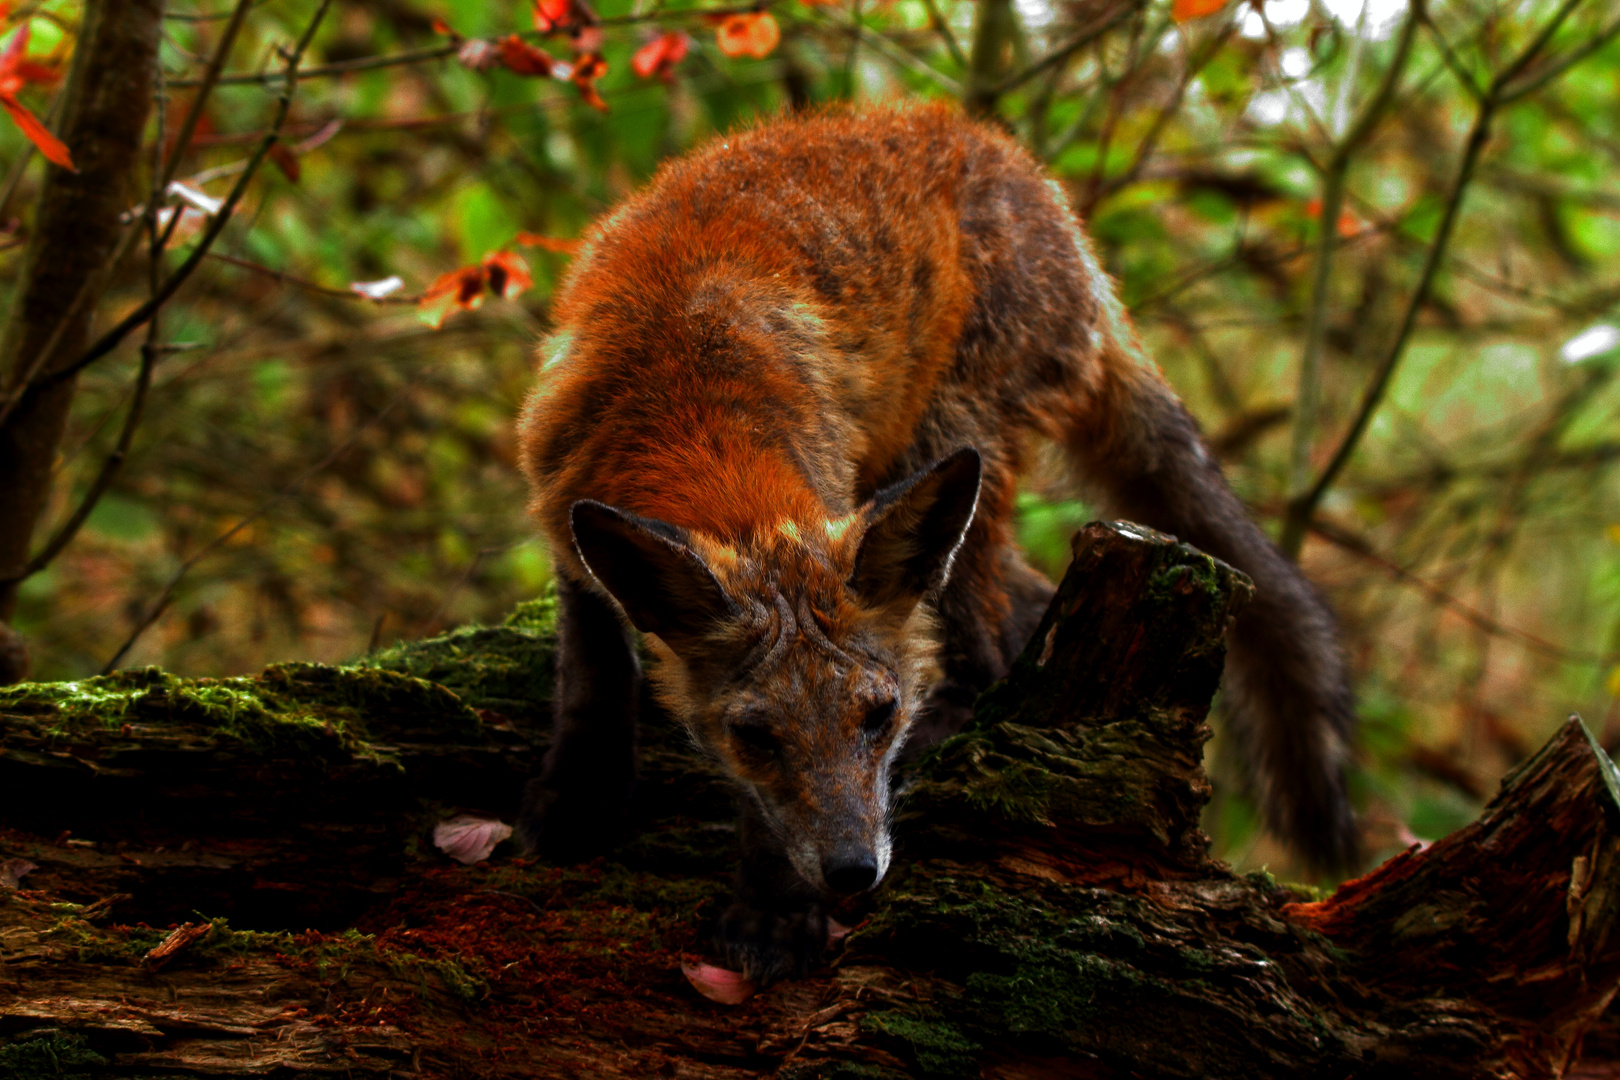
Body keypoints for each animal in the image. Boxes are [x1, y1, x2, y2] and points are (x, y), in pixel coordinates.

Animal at [518, 103, 1354, 990]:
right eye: (756, 736)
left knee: (982, 652)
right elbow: (594, 668)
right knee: (1024, 612)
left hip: (949, 446)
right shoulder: (565, 523)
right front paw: (579, 795)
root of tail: (1033, 180)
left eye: (877, 716)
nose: (853, 871)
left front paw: (775, 912)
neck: (689, 386)